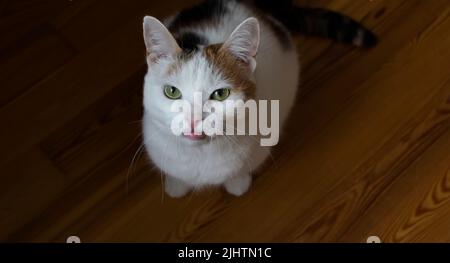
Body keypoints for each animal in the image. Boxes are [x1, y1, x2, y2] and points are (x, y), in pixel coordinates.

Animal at [142, 0, 376, 198]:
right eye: (172, 91)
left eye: (220, 94)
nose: (193, 120)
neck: (200, 156)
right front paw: (176, 185)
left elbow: (239, 171)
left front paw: (237, 183)